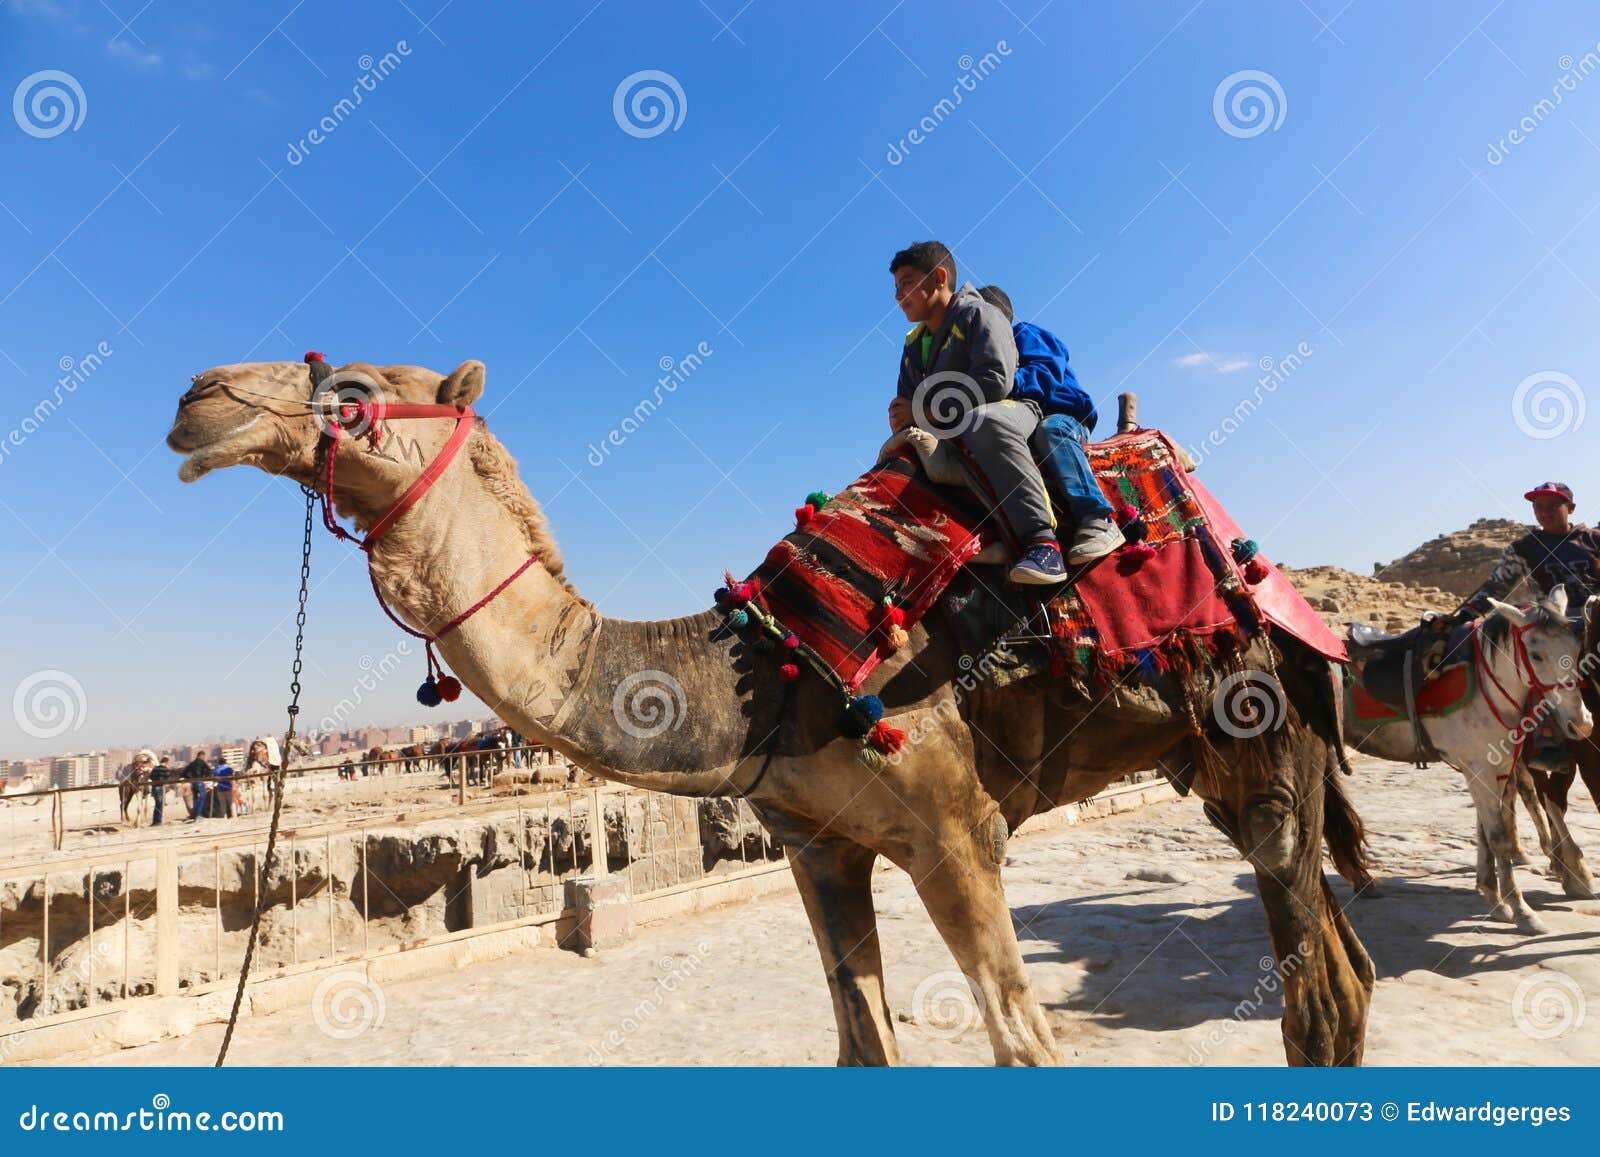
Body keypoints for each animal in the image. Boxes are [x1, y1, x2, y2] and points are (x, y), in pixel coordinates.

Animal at [168, 355, 1382, 1068]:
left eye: (353, 387)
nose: (199, 396)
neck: (755, 672)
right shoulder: (816, 840)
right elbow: (863, 1048)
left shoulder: (956, 832)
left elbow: (1025, 1049)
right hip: (1217, 757)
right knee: (1346, 970)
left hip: (1261, 725)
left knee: (1315, 994)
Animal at [1344, 592, 1593, 934]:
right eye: (1536, 654)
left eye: (1577, 646)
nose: (1581, 724)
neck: (1486, 686)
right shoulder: (1480, 769)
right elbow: (1499, 838)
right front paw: (1522, 911)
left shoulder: (1493, 769)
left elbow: (1485, 832)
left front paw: (1494, 900)